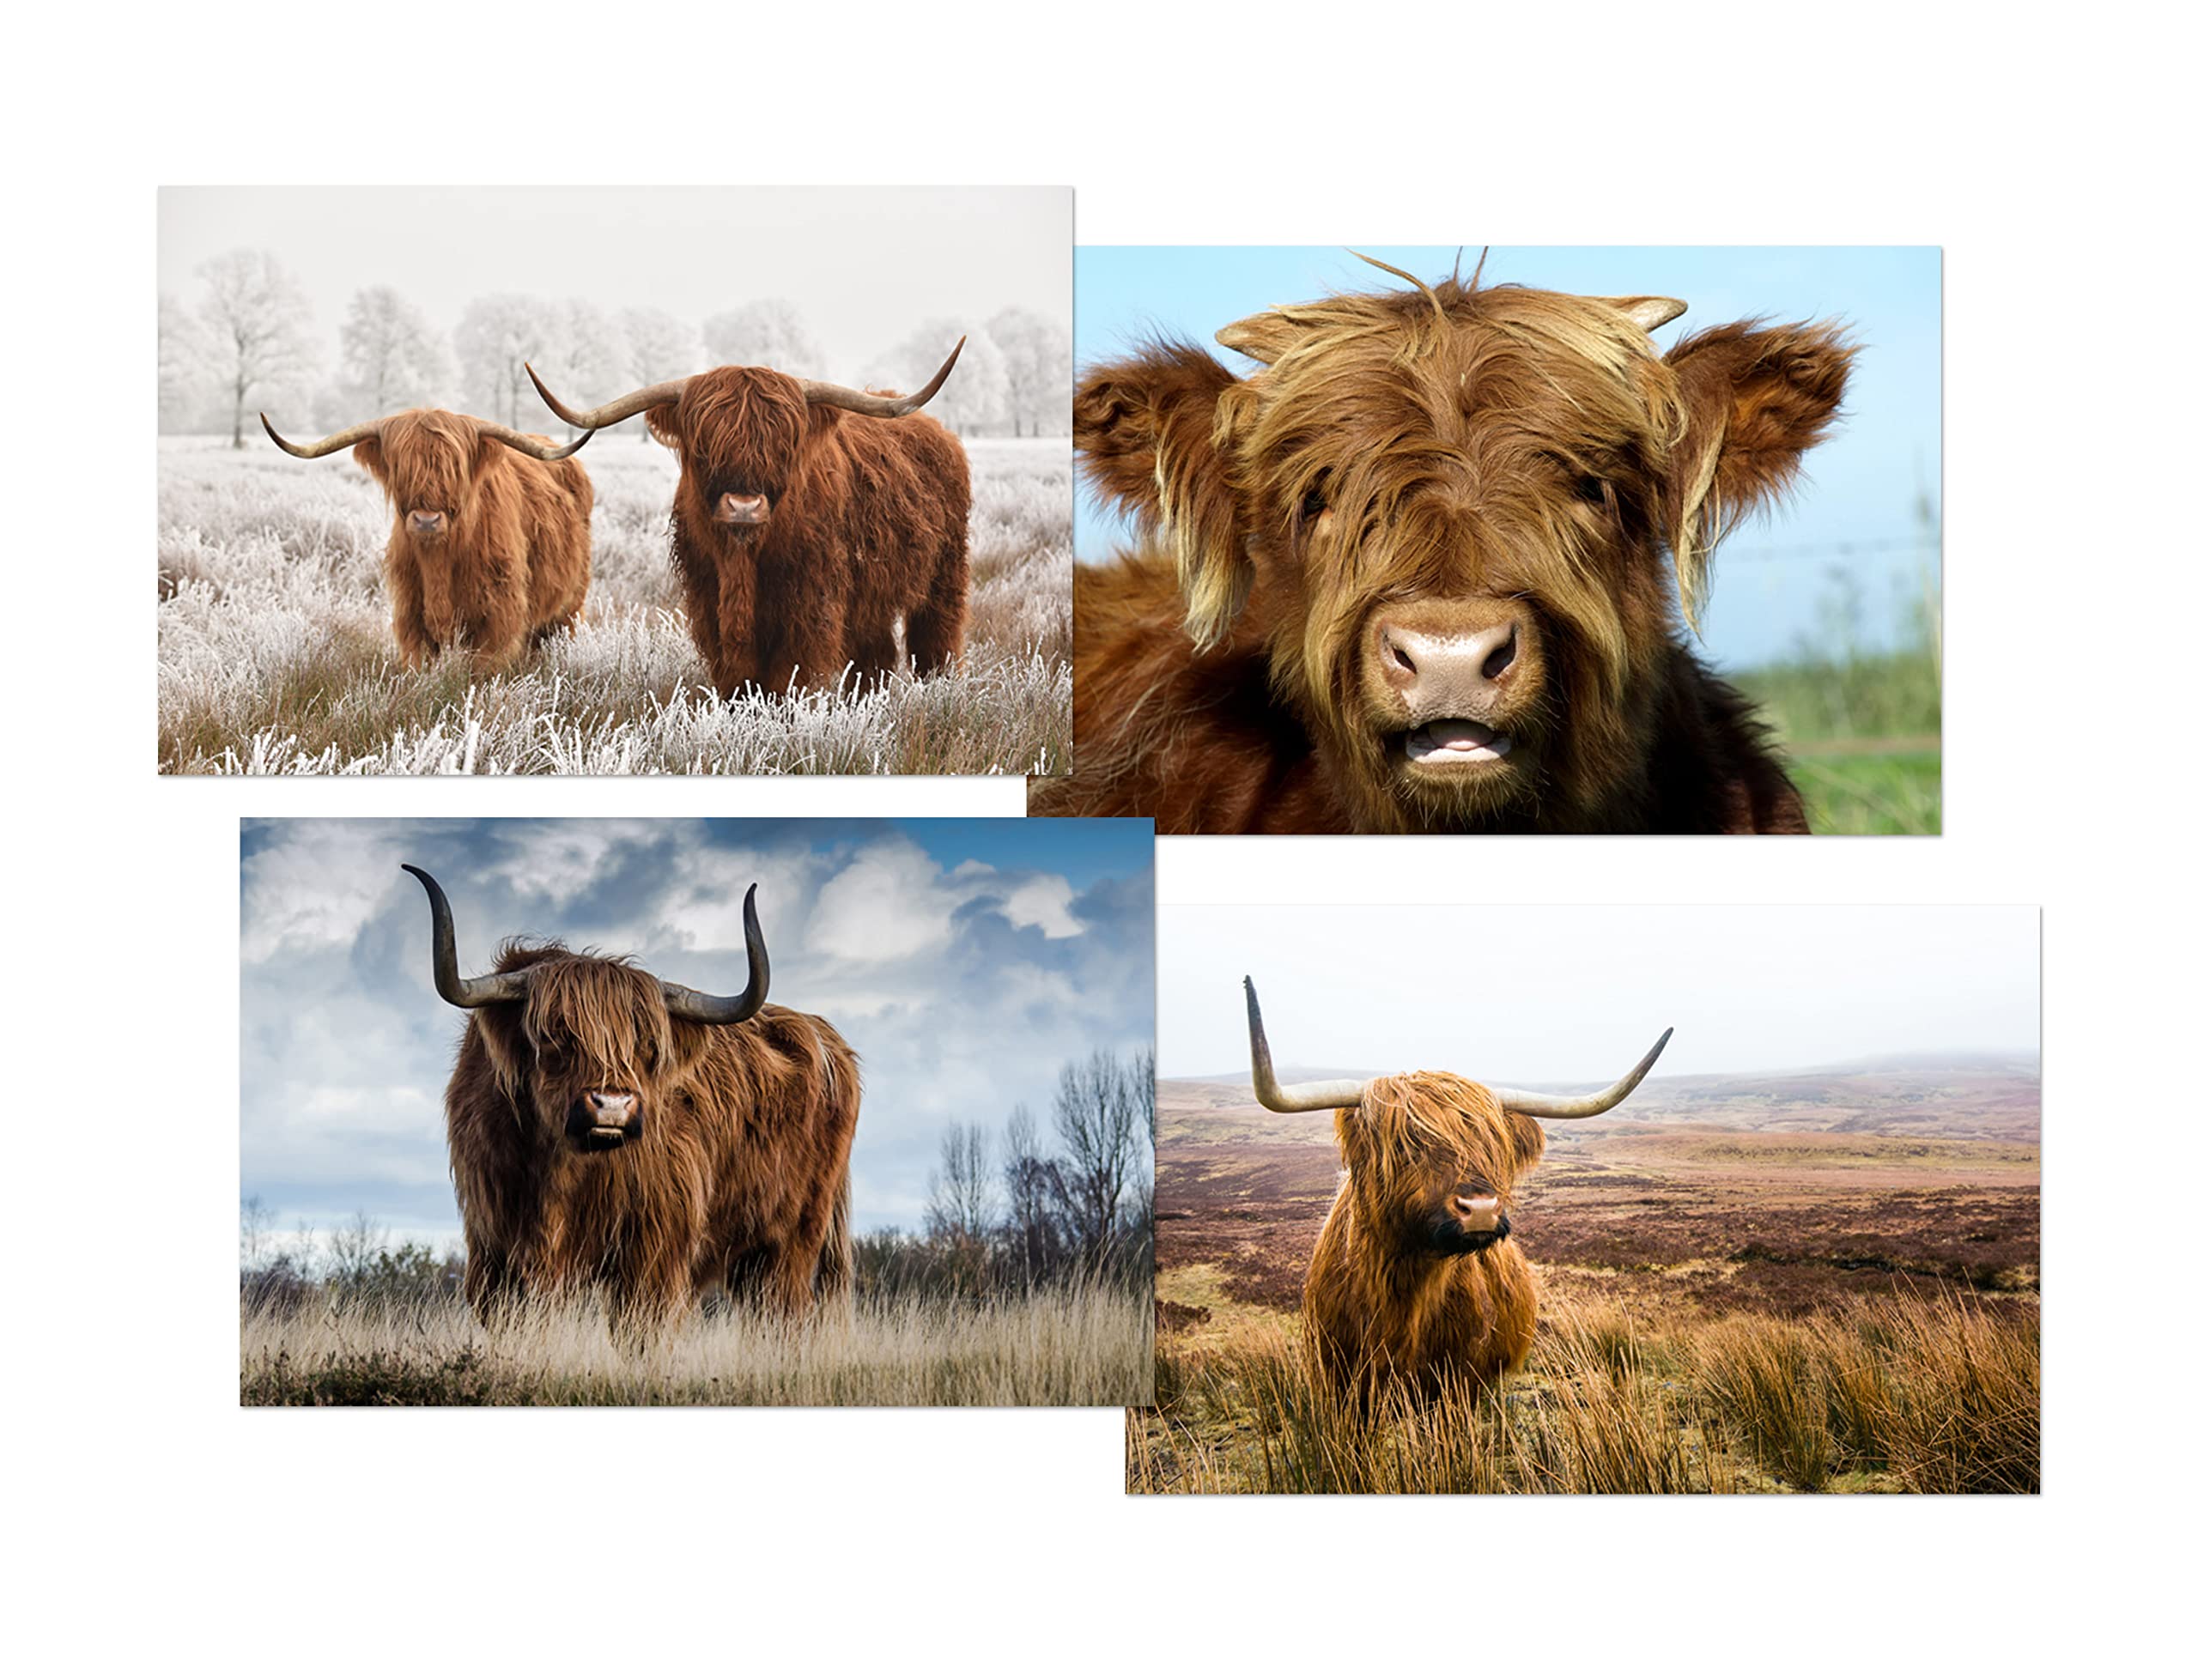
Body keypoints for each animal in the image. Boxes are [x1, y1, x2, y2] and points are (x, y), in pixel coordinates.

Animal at [262, 408, 595, 675]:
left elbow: (483, 671)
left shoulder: (499, 617)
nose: (426, 520)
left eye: (454, 469)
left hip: (569, 606)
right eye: (401, 467)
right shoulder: (410, 616)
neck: (439, 560)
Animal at [401, 864, 859, 1327]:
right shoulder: (494, 1250)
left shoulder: (653, 1251)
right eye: (554, 1035)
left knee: (787, 1312)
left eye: (648, 1045)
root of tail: (825, 1036)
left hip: (791, 1242)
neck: (557, 1172)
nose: (613, 1106)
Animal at [525, 344, 971, 697]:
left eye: (784, 444)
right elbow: (737, 681)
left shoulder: (810, 609)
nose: (743, 506)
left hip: (945, 574)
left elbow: (787, 681)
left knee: (936, 640)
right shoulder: (709, 604)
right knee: (875, 655)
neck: (742, 561)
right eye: (704, 444)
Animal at [1242, 975, 1669, 1404]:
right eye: (1405, 1145)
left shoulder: (1460, 1382)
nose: (1480, 1209)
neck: (1404, 1292)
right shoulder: (1339, 1381)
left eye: (1494, 1145)